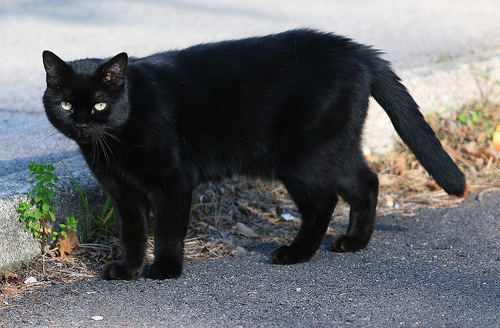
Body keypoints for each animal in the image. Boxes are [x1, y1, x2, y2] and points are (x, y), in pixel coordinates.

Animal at [41, 29, 466, 280]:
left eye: (99, 104)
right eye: (65, 104)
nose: (82, 124)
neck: (113, 143)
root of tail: (356, 48)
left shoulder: (174, 182)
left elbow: (167, 230)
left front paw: (164, 269)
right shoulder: (123, 192)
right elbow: (132, 232)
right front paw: (127, 270)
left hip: (304, 157)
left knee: (324, 201)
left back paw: (296, 253)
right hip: (336, 147)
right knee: (367, 183)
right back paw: (353, 242)